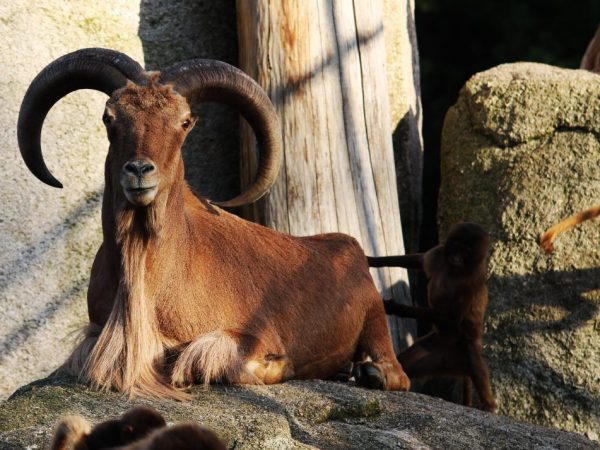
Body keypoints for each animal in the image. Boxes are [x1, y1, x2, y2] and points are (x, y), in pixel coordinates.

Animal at [366, 221, 496, 412]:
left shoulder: (470, 284)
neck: (455, 270)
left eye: (465, 251)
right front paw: (371, 260)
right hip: (434, 350)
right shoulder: (440, 255)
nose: (456, 258)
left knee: (475, 361)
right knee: (406, 362)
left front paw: (394, 306)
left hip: (464, 348)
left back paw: (489, 406)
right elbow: (419, 261)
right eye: (456, 247)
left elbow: (451, 318)